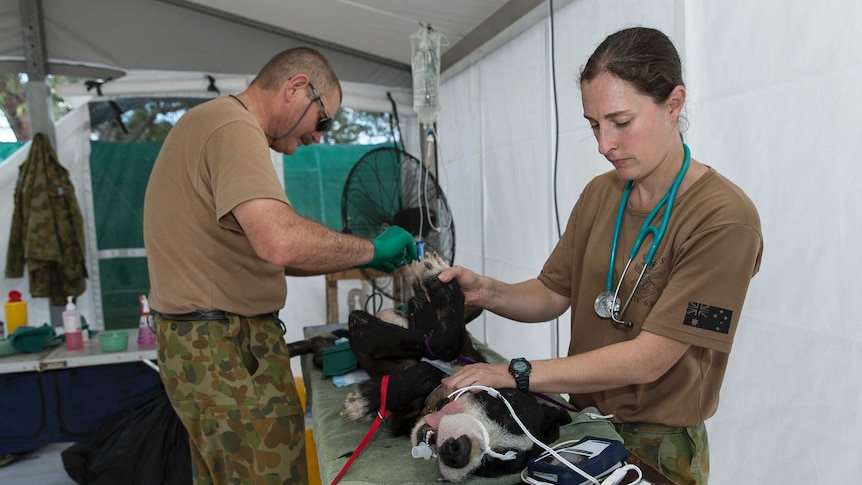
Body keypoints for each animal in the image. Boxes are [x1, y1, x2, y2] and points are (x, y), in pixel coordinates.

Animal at [338, 253, 572, 480]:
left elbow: (435, 358)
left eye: (494, 464)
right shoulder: (362, 325)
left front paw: (367, 400)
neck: (429, 401)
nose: (457, 451)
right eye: (499, 408)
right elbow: (446, 345)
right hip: (476, 303)